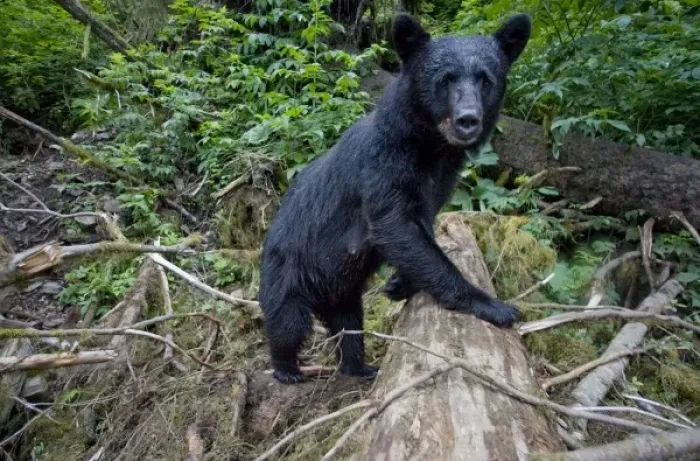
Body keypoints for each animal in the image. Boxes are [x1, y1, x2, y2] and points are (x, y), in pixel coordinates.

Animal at [259, 13, 532, 384]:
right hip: (287, 271)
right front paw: (494, 305)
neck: (431, 147)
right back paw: (288, 369)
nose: (468, 120)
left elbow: (420, 232)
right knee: (287, 322)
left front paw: (399, 283)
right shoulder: (383, 166)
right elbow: (396, 226)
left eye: (486, 80)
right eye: (445, 80)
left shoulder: (441, 181)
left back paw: (359, 367)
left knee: (349, 326)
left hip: (342, 291)